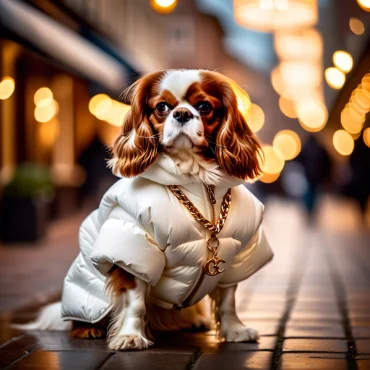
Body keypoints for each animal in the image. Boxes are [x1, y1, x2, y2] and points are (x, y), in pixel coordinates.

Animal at [15, 69, 274, 350]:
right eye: (161, 107)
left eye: (204, 106)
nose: (182, 114)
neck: (198, 183)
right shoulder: (134, 250)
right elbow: (135, 301)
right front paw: (130, 336)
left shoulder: (236, 253)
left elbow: (228, 299)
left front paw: (235, 330)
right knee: (79, 319)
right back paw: (89, 329)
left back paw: (193, 320)